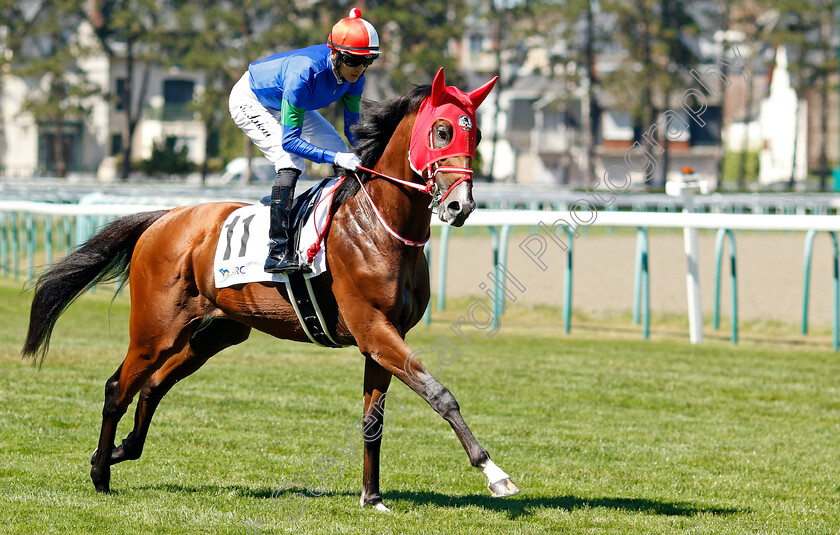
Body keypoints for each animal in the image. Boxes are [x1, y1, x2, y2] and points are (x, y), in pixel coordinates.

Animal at [21, 68, 520, 510]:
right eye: (442, 131)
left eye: (476, 137)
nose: (460, 206)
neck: (380, 226)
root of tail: (164, 217)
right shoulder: (373, 330)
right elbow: (440, 394)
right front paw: (494, 473)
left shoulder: (382, 337)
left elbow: (372, 422)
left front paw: (372, 497)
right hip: (155, 328)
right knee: (117, 388)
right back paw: (100, 473)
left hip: (218, 331)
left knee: (155, 385)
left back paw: (118, 451)